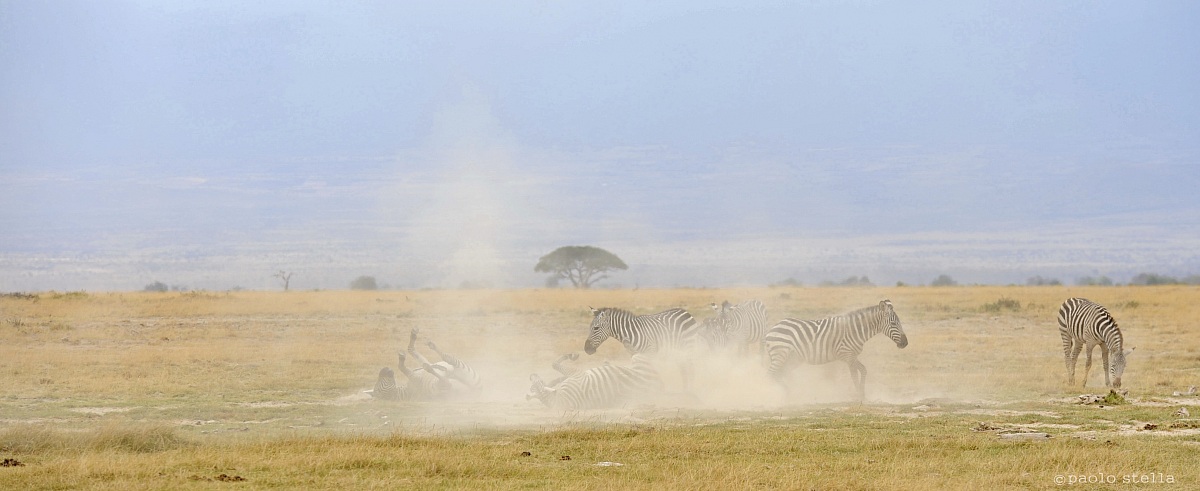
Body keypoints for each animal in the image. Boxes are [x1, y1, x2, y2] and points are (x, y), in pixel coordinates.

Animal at [527, 354, 663, 411]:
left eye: (534, 385)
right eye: (538, 382)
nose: (531, 375)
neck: (559, 401)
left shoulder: (575, 375)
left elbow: (556, 371)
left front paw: (556, 380)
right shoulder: (577, 374)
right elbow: (554, 364)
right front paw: (572, 355)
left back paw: (607, 363)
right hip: (638, 359)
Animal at [763, 300, 909, 401]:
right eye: (893, 323)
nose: (905, 343)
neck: (856, 330)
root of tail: (772, 328)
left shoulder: (852, 356)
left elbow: (863, 370)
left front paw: (863, 394)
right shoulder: (848, 355)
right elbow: (854, 376)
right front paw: (859, 395)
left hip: (792, 358)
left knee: (782, 373)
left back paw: (792, 393)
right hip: (780, 355)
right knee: (771, 374)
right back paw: (777, 394)